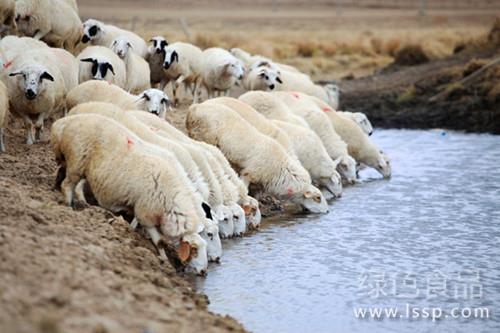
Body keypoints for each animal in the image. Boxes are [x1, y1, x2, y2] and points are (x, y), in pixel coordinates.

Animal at [49, 114, 208, 274]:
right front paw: (166, 262)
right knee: (67, 185)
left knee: (65, 175)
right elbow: (160, 242)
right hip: (76, 162)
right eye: (194, 250)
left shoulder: (140, 207)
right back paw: (68, 205)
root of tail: (65, 122)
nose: (204, 272)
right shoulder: (146, 213)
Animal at [187, 101, 328, 213]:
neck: (281, 169)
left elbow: (257, 193)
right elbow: (244, 187)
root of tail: (195, 107)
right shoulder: (249, 172)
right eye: (318, 198)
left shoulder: (261, 180)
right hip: (202, 135)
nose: (327, 211)